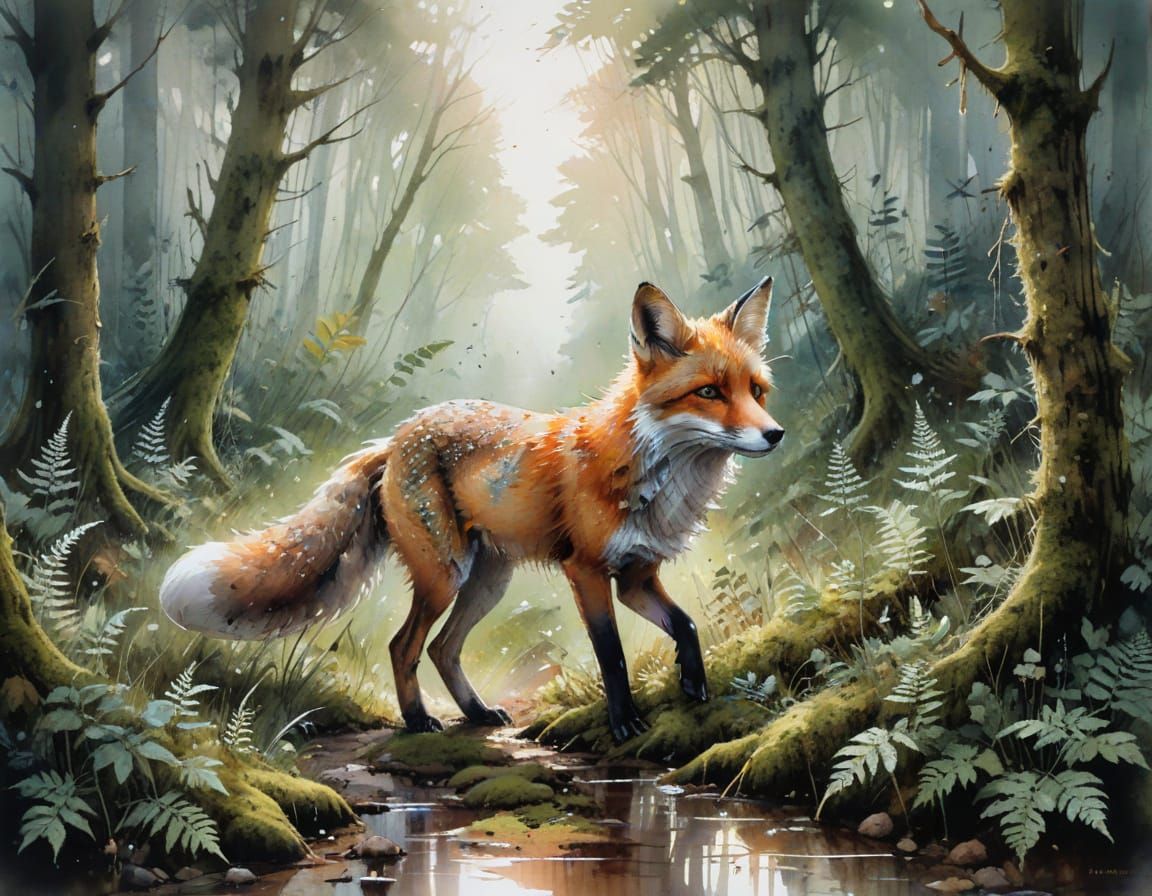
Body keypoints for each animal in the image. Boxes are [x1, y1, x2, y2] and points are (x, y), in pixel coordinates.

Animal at [160, 278, 784, 742]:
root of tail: (395, 438)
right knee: (405, 646)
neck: (649, 473)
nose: (775, 435)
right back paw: (418, 720)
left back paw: (478, 713)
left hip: (488, 580)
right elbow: (612, 656)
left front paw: (694, 685)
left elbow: (687, 625)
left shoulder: (636, 576)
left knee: (441, 648)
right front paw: (625, 720)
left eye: (756, 391)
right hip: (445, 574)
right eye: (709, 392)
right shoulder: (585, 571)